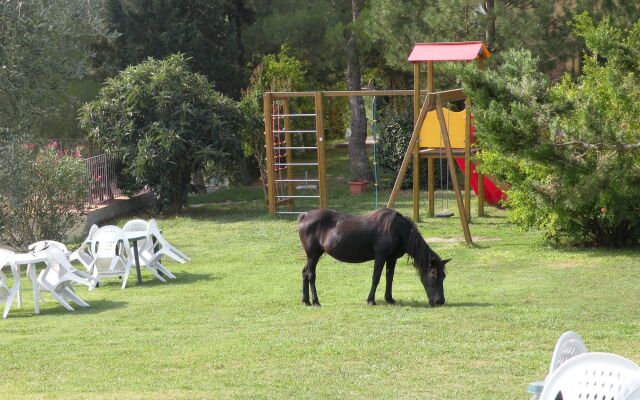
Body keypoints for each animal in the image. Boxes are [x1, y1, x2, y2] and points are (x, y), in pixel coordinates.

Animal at [296, 208, 450, 308]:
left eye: (443, 276)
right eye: (433, 274)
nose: (440, 301)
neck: (398, 230)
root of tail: (305, 216)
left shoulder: (392, 258)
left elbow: (389, 278)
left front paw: (389, 299)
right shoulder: (380, 256)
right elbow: (376, 277)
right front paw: (371, 300)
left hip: (311, 256)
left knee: (304, 273)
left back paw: (306, 301)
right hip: (313, 255)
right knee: (311, 275)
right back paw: (315, 302)